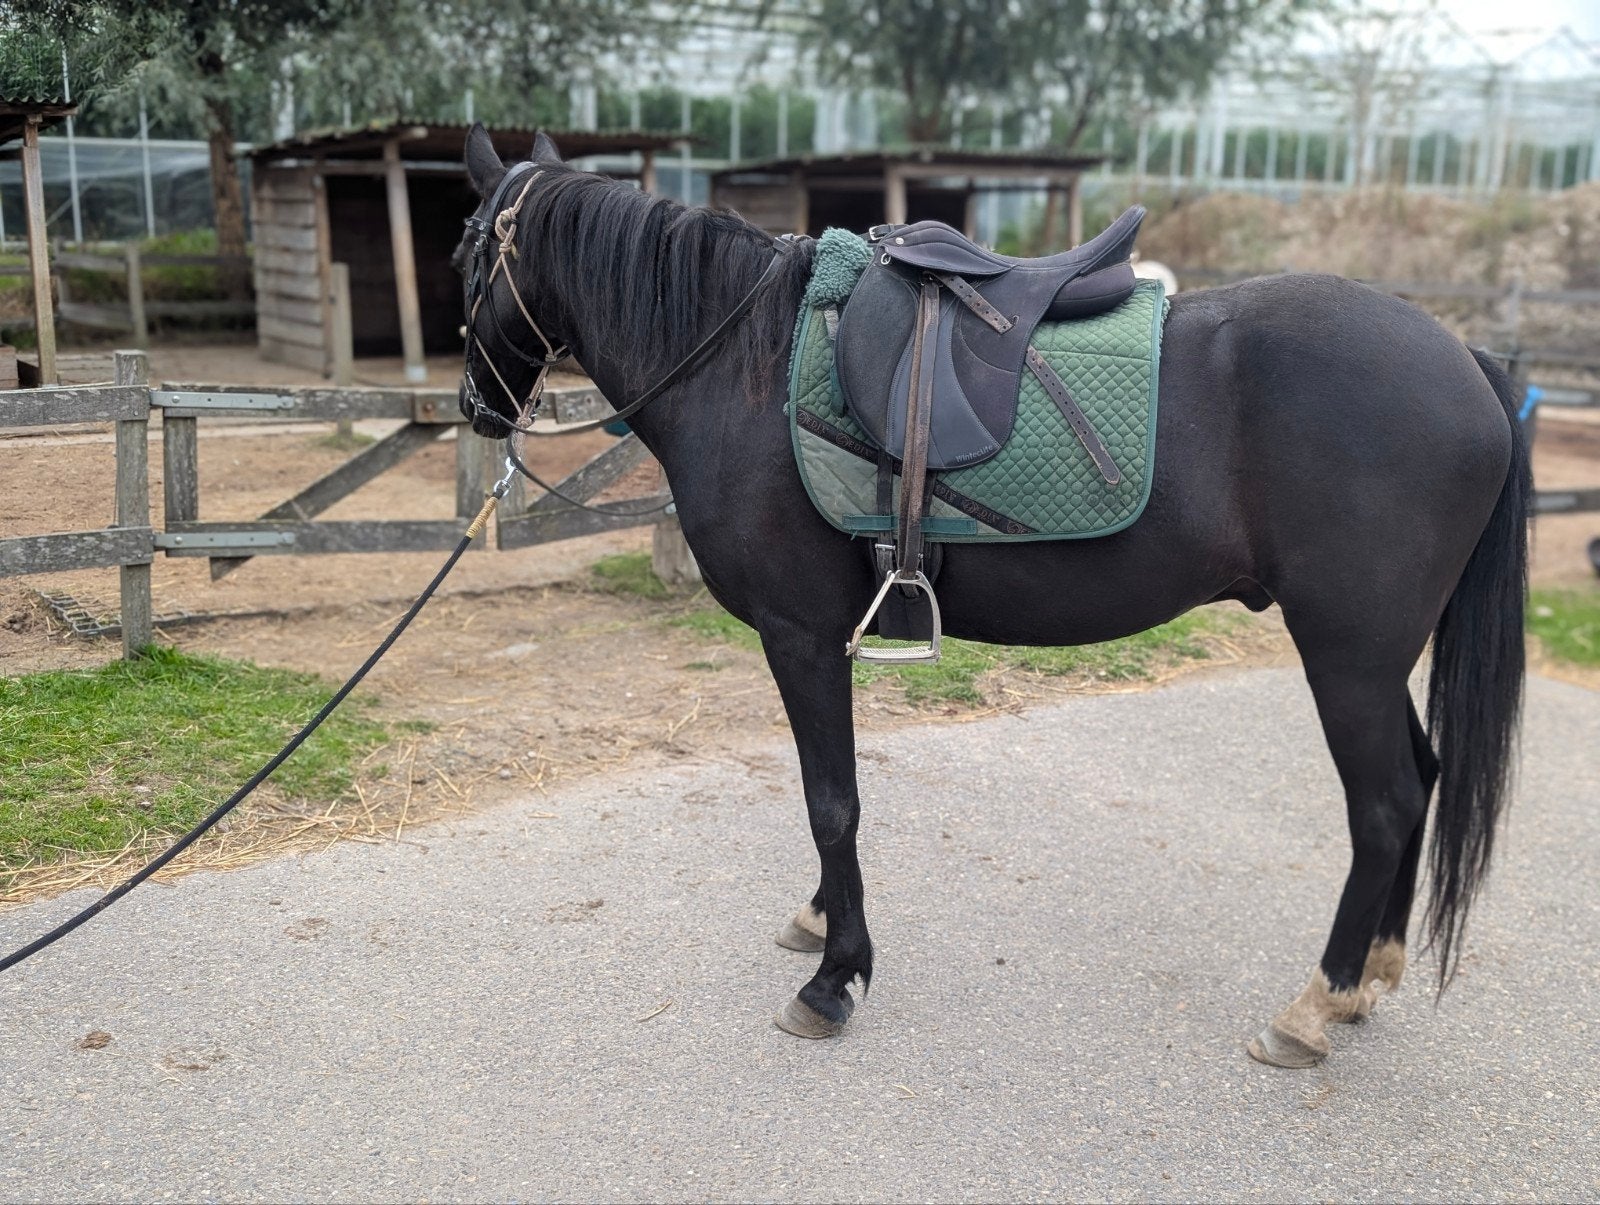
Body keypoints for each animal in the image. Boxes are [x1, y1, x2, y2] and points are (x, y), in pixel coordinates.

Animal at [452, 126, 1528, 1068]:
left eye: (464, 254)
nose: (474, 408)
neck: (743, 365)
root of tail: (1468, 364)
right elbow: (833, 797)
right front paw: (821, 921)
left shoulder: (801, 635)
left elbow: (831, 800)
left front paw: (835, 977)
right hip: (1377, 656)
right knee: (1424, 775)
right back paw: (1369, 977)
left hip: (1347, 654)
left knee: (1385, 803)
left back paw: (1313, 1004)